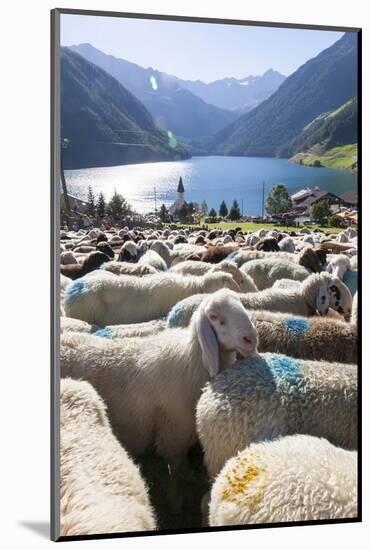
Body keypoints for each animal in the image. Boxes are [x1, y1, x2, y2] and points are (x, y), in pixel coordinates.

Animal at [61, 288, 258, 484]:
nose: (250, 339)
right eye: (214, 317)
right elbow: (178, 467)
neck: (191, 359)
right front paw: (187, 479)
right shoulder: (174, 433)